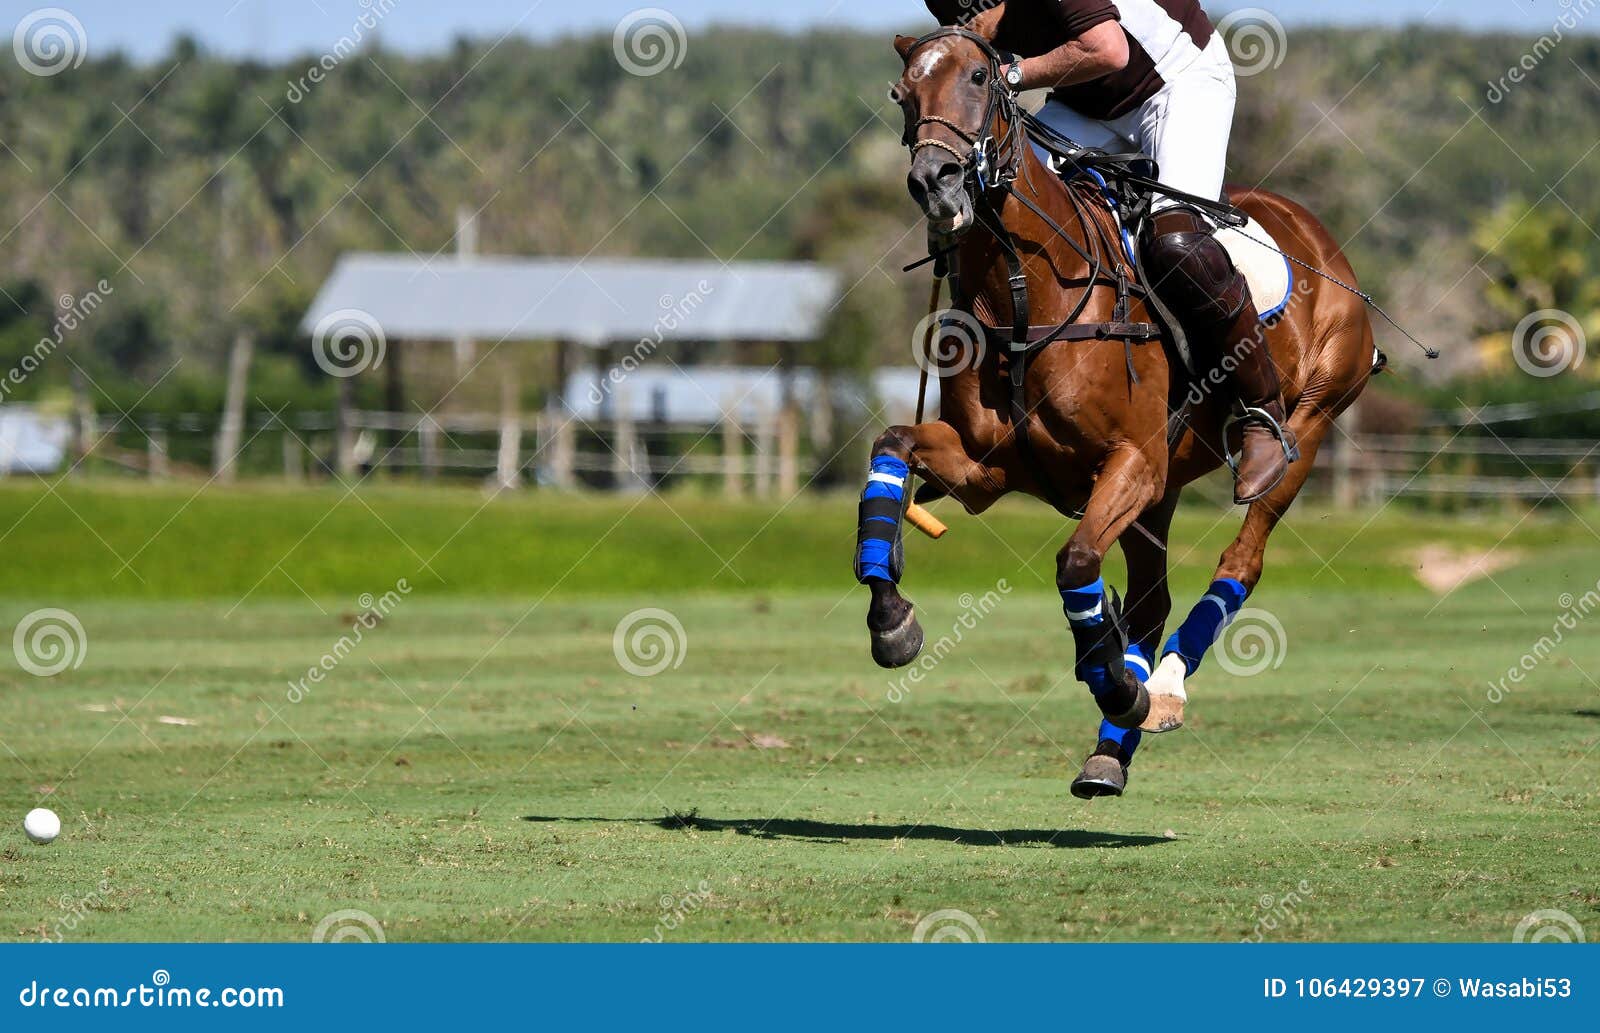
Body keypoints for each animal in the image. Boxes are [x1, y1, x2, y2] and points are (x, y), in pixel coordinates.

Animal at [857, 24, 1382, 802]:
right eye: (902, 93)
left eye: (981, 76)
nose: (936, 182)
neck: (1026, 292)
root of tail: (1322, 240)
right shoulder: (987, 472)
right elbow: (891, 445)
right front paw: (892, 620)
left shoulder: (1131, 460)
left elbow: (1077, 560)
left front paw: (1113, 679)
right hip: (1162, 489)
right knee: (1151, 599)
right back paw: (1111, 747)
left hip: (1309, 423)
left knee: (1241, 556)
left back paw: (1158, 688)